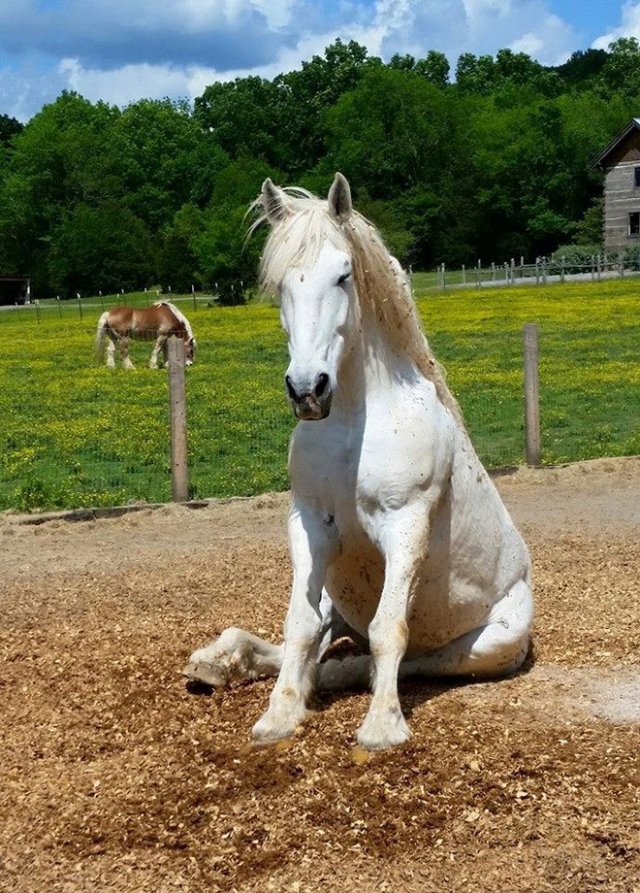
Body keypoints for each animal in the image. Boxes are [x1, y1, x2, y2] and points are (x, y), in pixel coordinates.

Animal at [182, 171, 532, 748]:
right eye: (281, 284)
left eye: (344, 275)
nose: (307, 389)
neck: (354, 422)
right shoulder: (309, 525)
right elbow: (298, 626)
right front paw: (279, 714)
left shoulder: (406, 524)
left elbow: (389, 629)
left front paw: (382, 726)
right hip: (338, 596)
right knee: (314, 641)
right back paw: (221, 662)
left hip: (491, 644)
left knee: (397, 658)